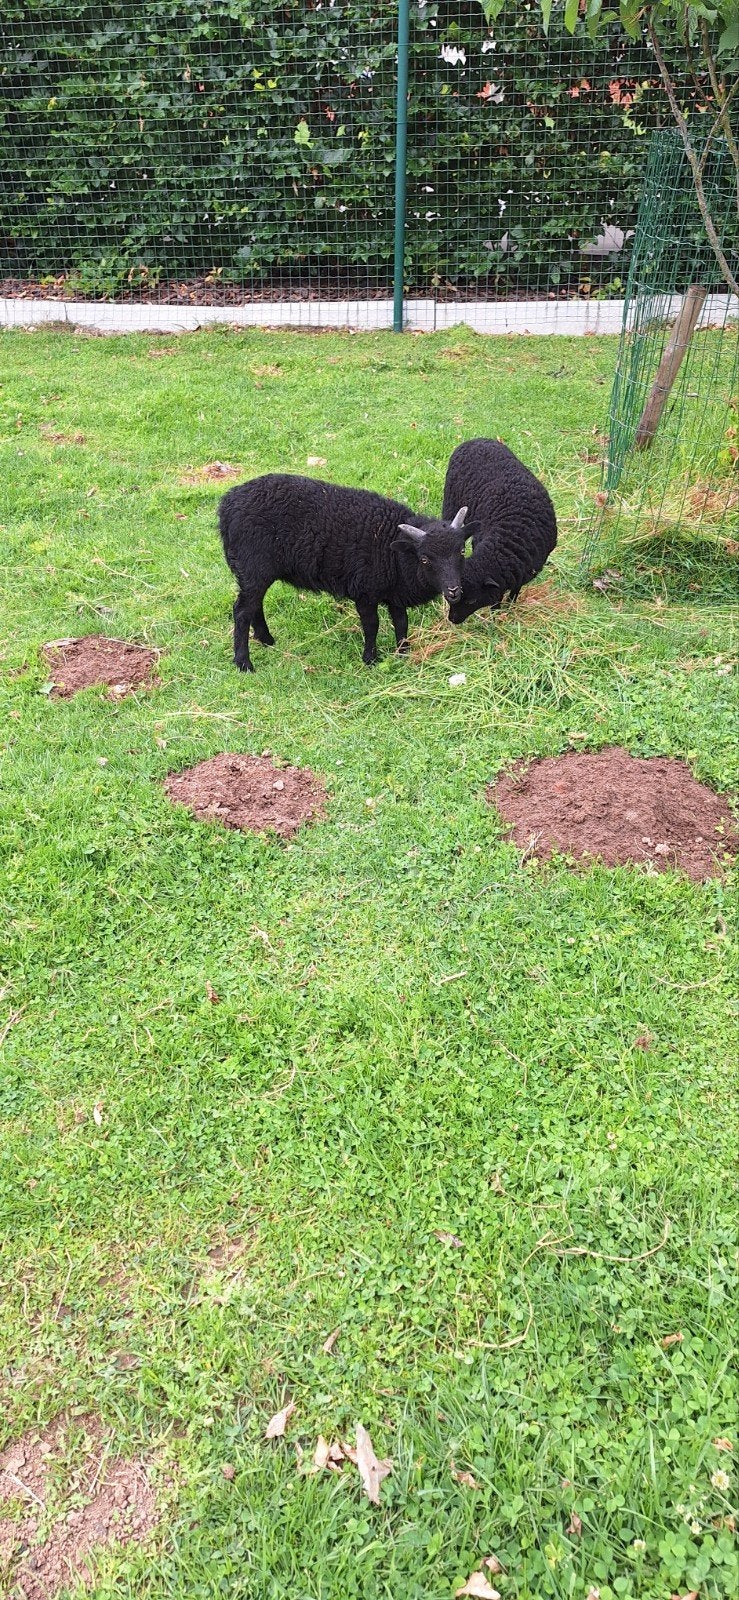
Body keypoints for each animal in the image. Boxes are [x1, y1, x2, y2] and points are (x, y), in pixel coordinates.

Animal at [218, 472, 469, 671]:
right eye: (425, 559)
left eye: (462, 551)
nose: (454, 591)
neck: (393, 550)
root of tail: (227, 504)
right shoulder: (364, 592)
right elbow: (372, 625)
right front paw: (370, 659)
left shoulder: (394, 591)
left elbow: (401, 622)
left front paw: (403, 652)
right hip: (253, 567)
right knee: (242, 611)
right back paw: (244, 662)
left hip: (255, 573)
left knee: (254, 605)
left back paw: (267, 640)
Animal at [442, 438, 557, 624]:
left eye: (472, 600)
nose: (452, 620)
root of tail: (475, 439)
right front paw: (496, 613)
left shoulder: (524, 571)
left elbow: (514, 589)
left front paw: (509, 606)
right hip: (451, 502)